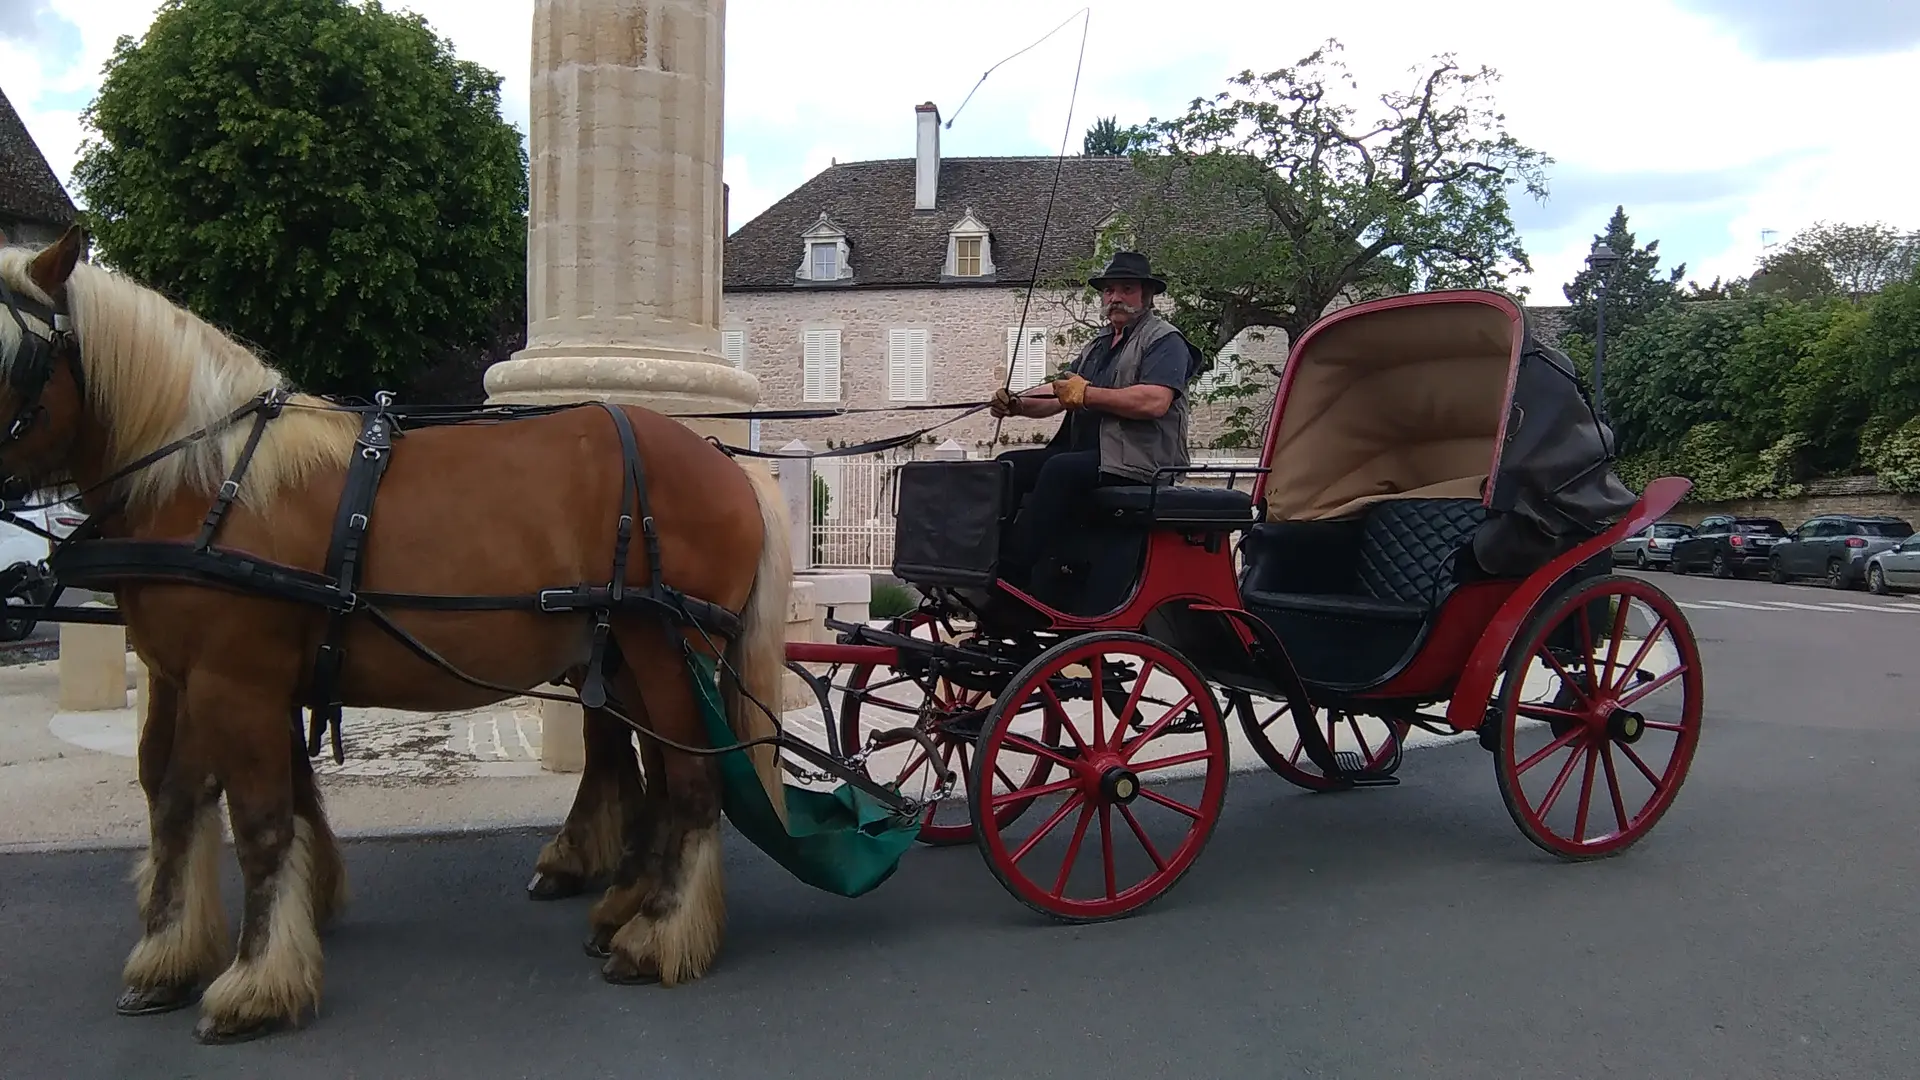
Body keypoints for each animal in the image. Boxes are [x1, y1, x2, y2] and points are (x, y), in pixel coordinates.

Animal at [0, 228, 787, 1045]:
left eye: (15, 360)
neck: (211, 478)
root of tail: (721, 460)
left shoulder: (238, 680)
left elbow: (258, 820)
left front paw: (256, 981)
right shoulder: (185, 677)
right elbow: (178, 800)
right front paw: (172, 952)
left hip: (666, 650)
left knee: (692, 784)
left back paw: (659, 935)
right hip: (629, 657)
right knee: (656, 774)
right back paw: (629, 906)